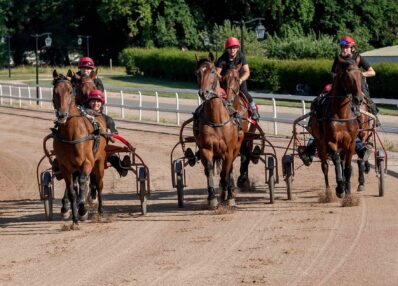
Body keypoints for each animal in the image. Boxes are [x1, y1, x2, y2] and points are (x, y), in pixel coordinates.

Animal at [51, 70, 107, 225]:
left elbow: (83, 182)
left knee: (98, 184)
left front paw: (82, 210)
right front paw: (74, 217)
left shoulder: (87, 162)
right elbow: (71, 190)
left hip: (100, 161)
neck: (71, 135)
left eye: (70, 91)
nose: (62, 115)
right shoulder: (65, 167)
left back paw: (100, 210)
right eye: (55, 92)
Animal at [195, 52, 247, 207]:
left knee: (229, 170)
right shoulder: (206, 149)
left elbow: (225, 172)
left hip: (236, 147)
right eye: (197, 72)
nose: (204, 93)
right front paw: (212, 197)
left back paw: (229, 192)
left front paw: (228, 195)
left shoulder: (229, 151)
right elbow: (209, 170)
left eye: (212, 72)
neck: (216, 120)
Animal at [312, 56, 366, 198]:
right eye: (347, 76)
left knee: (342, 162)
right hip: (320, 142)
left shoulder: (351, 143)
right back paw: (328, 191)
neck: (342, 115)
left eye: (360, 75)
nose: (359, 99)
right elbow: (335, 161)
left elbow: (347, 168)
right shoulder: (331, 141)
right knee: (325, 166)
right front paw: (339, 188)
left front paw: (347, 192)